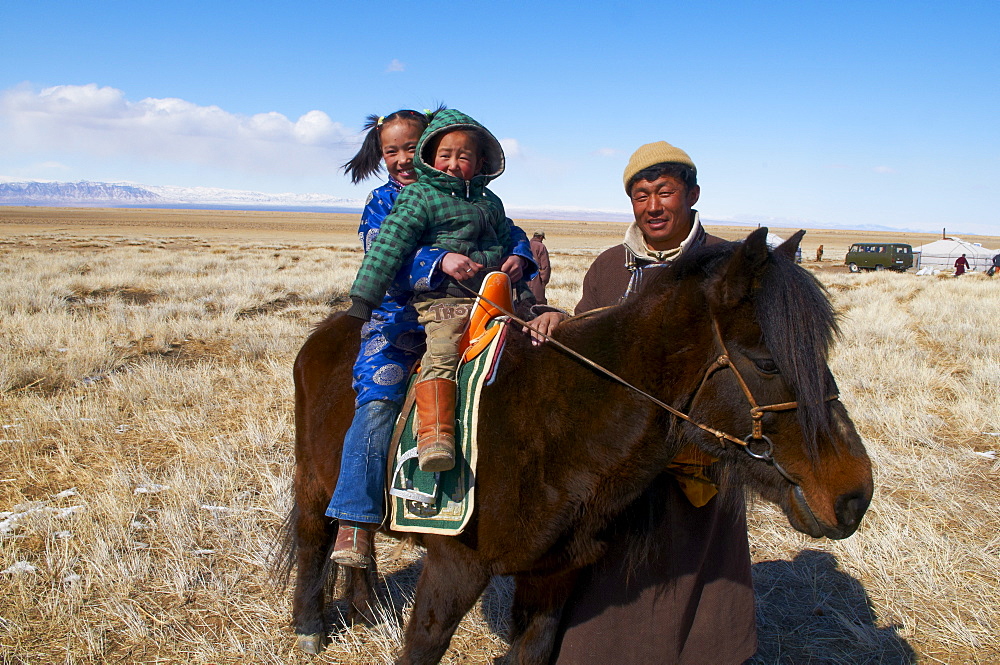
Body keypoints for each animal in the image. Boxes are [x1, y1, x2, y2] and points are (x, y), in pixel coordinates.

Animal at [278, 227, 872, 660]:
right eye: (768, 362)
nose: (855, 495)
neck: (553, 426)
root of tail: (325, 333)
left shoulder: (553, 579)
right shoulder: (453, 568)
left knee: (358, 542)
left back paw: (362, 607)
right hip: (314, 481)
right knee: (314, 540)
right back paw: (310, 627)